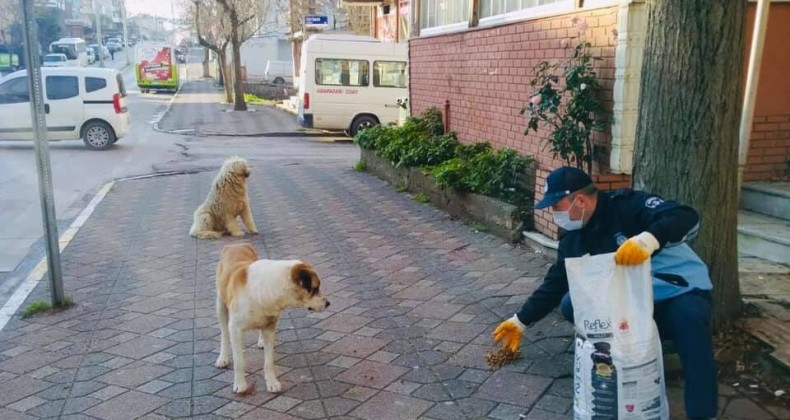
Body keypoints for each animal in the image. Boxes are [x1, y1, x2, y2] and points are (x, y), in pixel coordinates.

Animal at [213, 243, 332, 394]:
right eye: (315, 288)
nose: (328, 303)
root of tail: (236, 244)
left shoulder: (270, 328)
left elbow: (268, 362)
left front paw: (272, 383)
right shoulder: (235, 329)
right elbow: (239, 361)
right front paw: (240, 384)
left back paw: (261, 341)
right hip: (220, 306)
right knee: (224, 333)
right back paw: (222, 358)